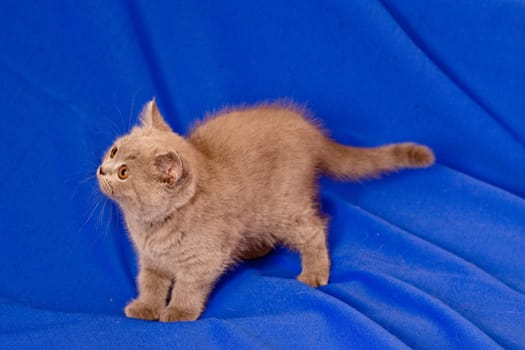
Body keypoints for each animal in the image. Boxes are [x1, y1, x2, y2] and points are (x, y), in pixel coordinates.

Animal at [97, 98, 434, 322]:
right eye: (113, 151)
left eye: (124, 173)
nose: (103, 169)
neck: (152, 227)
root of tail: (307, 130)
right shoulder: (150, 260)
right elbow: (150, 283)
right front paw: (145, 307)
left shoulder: (203, 260)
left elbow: (188, 286)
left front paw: (179, 311)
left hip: (284, 205)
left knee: (314, 229)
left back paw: (314, 272)